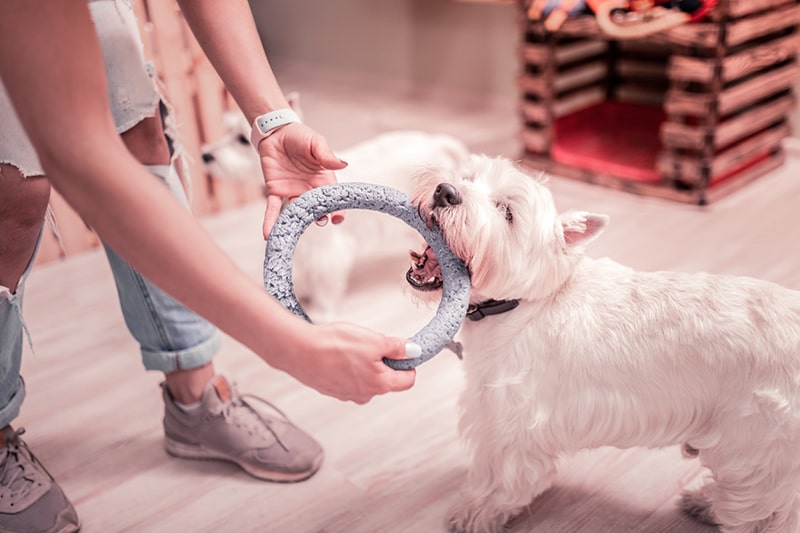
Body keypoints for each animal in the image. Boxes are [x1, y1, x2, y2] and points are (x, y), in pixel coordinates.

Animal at [410, 154, 800, 532]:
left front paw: (471, 515)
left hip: (757, 446)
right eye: (467, 177)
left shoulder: (509, 426)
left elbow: (498, 482)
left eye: (506, 211)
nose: (445, 191)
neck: (526, 303)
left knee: (766, 511)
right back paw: (705, 503)